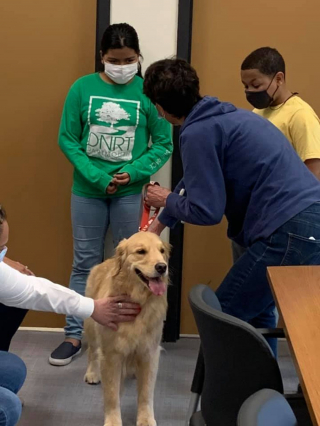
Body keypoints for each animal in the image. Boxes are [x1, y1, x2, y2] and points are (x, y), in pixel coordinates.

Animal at [84, 233, 170, 426]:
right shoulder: (111, 354)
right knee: (92, 352)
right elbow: (112, 394)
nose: (162, 267)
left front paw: (145, 418)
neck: (138, 301)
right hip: (91, 326)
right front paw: (113, 421)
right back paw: (92, 372)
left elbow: (146, 393)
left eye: (162, 251)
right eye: (141, 251)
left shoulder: (149, 352)